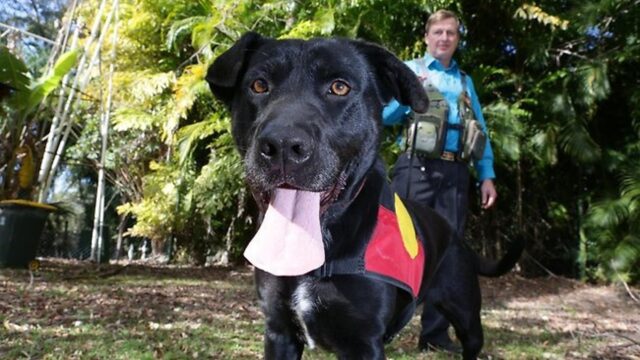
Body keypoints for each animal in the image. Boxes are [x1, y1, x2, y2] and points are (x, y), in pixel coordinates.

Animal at [208, 32, 524, 358]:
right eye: (259, 85)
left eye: (339, 87)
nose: (282, 145)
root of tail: (456, 236)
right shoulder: (279, 330)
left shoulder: (362, 340)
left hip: (466, 314)